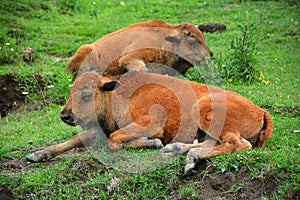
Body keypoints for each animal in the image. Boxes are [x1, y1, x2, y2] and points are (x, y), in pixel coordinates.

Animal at [27, 71, 274, 173]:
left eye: (86, 94)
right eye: (71, 91)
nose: (65, 115)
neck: (117, 94)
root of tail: (260, 110)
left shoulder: (150, 124)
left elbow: (115, 140)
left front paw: (152, 142)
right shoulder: (101, 129)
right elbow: (75, 139)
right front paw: (37, 154)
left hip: (205, 111)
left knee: (237, 145)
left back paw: (185, 155)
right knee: (214, 143)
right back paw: (180, 152)